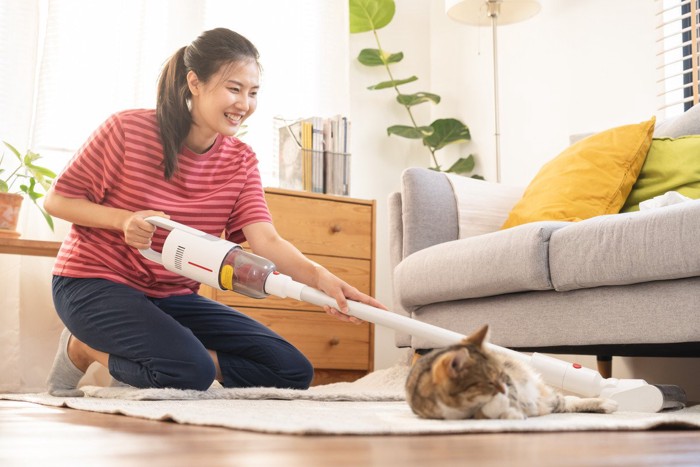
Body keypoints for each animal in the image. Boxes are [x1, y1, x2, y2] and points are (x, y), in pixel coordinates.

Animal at [404, 326, 616, 420]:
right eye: (489, 382)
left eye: (503, 376)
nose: (505, 389)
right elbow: (486, 411)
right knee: (564, 403)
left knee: (567, 400)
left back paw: (607, 403)